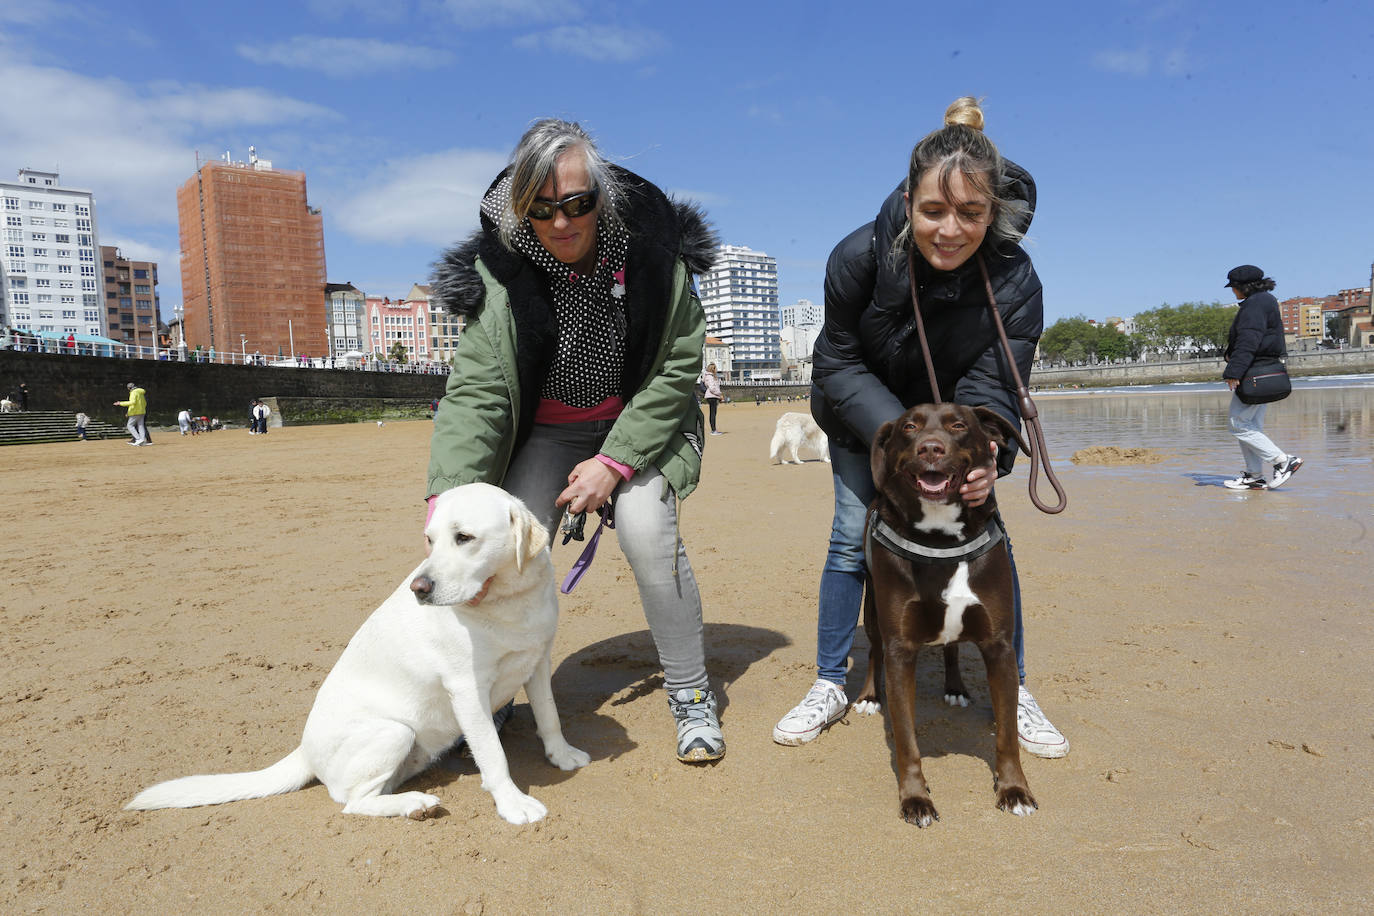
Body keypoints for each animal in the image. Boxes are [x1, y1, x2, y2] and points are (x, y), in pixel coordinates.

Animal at [129, 483, 596, 829]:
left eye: (464, 537)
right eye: (429, 540)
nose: (419, 588)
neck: (509, 603)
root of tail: (303, 750)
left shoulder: (537, 663)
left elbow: (550, 717)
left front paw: (562, 756)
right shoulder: (467, 692)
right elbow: (494, 756)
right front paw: (513, 804)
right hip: (393, 731)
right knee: (352, 801)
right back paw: (413, 805)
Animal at [851, 403, 1033, 829]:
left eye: (958, 425)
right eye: (909, 427)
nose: (930, 448)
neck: (940, 537)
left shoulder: (1000, 646)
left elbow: (1007, 736)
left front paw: (1014, 790)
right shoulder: (901, 650)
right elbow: (906, 739)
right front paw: (915, 798)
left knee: (951, 646)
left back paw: (955, 687)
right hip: (873, 611)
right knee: (874, 649)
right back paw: (869, 695)